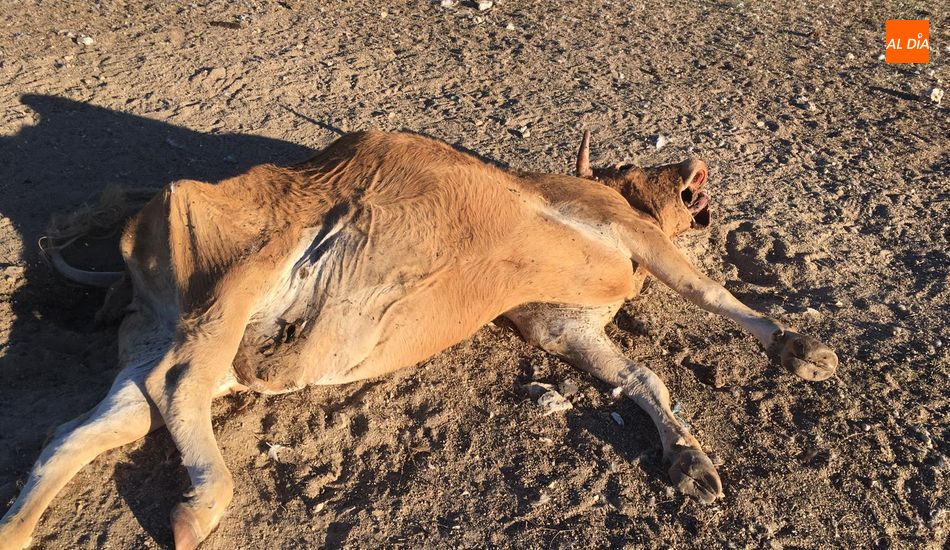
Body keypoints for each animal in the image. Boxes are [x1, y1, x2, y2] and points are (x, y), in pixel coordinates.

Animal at [0, 132, 840, 548]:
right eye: (640, 165)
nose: (696, 164)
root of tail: (129, 246)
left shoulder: (555, 322)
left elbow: (639, 380)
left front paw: (690, 458)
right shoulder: (626, 229)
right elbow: (708, 291)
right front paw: (800, 351)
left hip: (158, 341)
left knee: (89, 425)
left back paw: (17, 525)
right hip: (241, 272)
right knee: (178, 388)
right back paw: (201, 506)